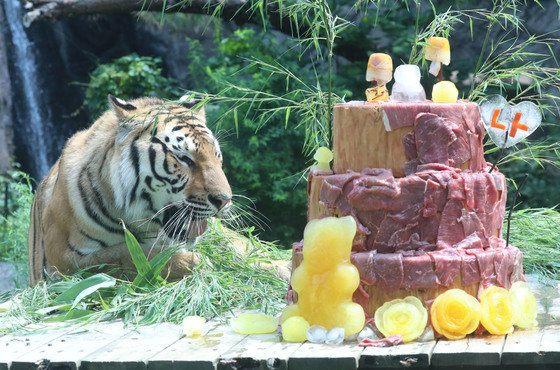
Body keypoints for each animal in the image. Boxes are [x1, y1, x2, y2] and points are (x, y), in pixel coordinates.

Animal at [27, 95, 233, 286]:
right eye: (183, 158)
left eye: (216, 155)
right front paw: (195, 262)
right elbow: (122, 256)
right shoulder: (62, 257)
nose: (224, 200)